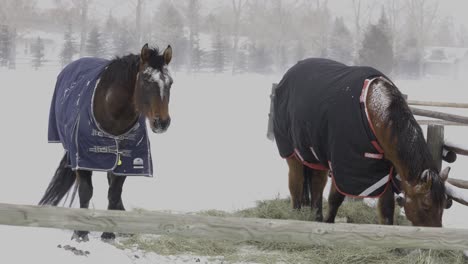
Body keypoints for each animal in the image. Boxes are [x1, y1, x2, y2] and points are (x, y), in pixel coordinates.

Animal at [38, 44, 174, 240]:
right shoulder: (83, 159)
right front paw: (81, 232)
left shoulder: (126, 162)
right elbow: (86, 192)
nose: (162, 123)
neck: (113, 116)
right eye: (146, 79)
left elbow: (114, 193)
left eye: (170, 82)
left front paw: (109, 232)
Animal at [274, 57, 468, 227]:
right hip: (293, 156)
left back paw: (315, 217)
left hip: (315, 157)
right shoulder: (345, 169)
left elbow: (387, 211)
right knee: (297, 186)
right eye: (426, 205)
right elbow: (335, 199)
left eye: (444, 204)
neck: (372, 110)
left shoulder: (384, 174)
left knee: (316, 185)